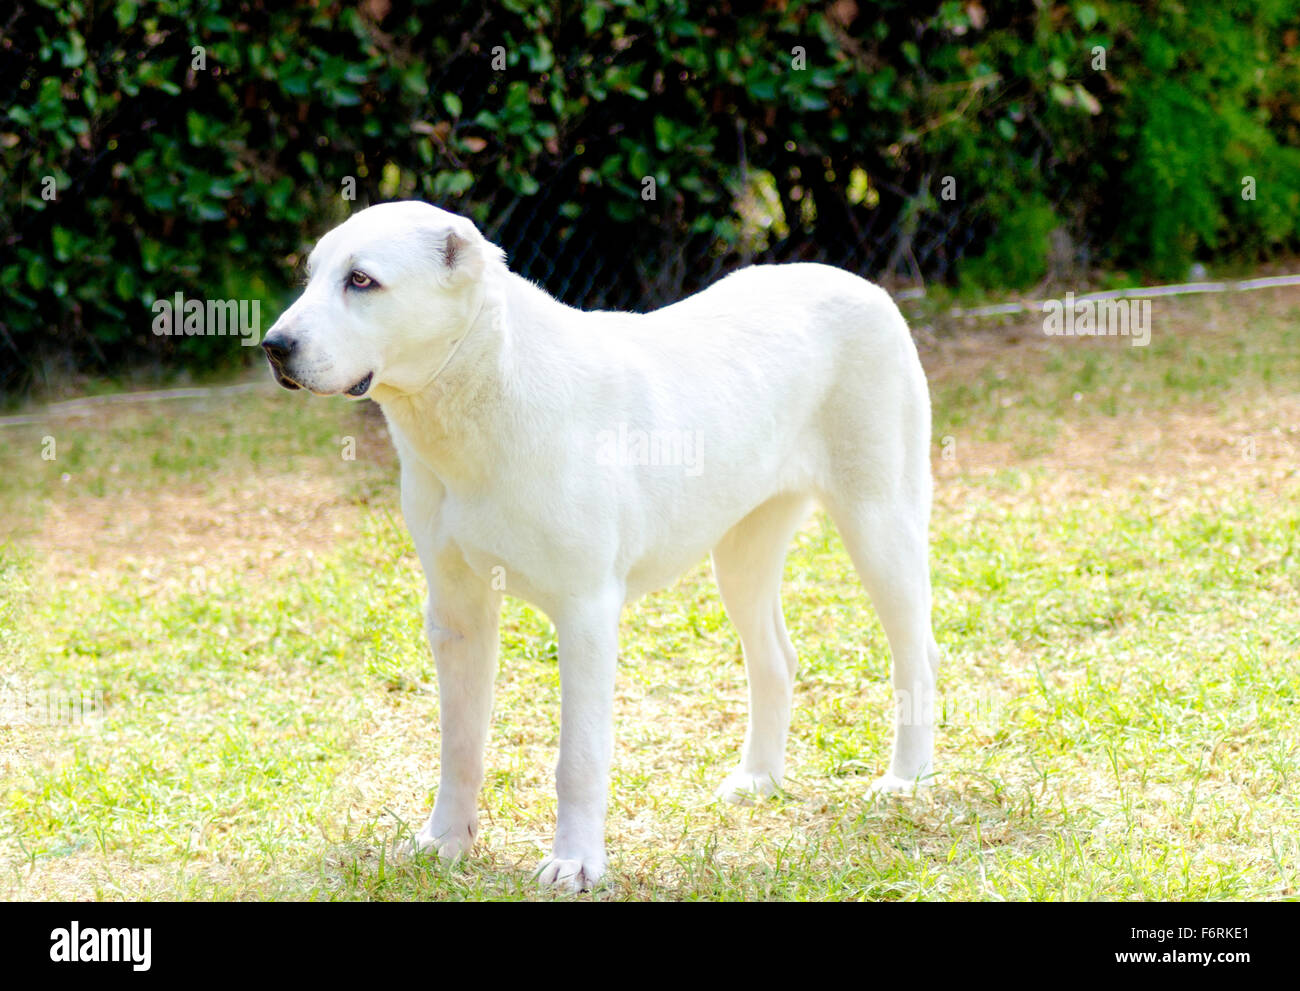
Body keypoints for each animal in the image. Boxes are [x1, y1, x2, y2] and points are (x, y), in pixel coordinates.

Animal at [263, 198, 941, 889]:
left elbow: (579, 757)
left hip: (880, 524)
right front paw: (446, 841)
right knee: (775, 660)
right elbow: (459, 745)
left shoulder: (585, 612)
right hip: (740, 553)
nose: (274, 346)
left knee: (916, 654)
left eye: (362, 281)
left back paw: (905, 781)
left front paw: (576, 862)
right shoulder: (457, 613)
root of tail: (863, 285)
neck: (485, 385)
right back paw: (758, 780)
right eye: (312, 276)